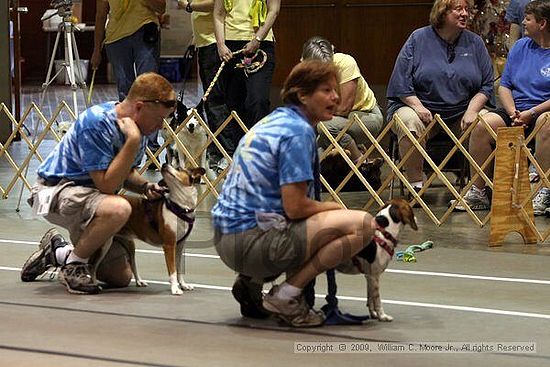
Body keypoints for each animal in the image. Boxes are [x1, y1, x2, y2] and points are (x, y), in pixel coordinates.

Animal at [119, 164, 207, 296]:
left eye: (179, 167)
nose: (164, 164)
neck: (181, 207)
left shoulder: (180, 245)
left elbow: (179, 268)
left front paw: (183, 285)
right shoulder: (169, 245)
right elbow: (172, 270)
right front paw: (175, 288)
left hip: (129, 242)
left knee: (132, 262)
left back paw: (140, 281)